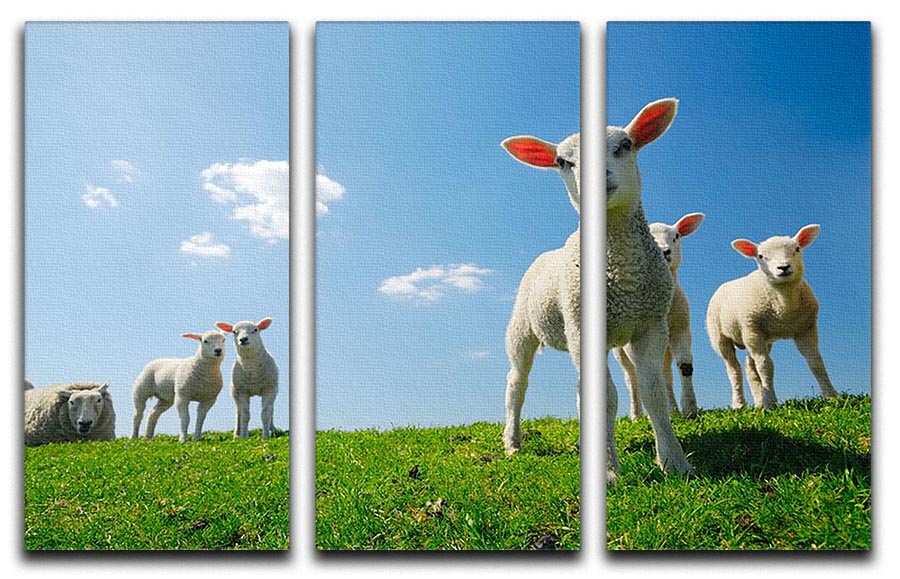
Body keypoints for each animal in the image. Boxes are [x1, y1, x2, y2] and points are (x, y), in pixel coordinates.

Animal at [613, 212, 705, 420]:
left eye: (676, 236)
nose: (664, 251)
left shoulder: (681, 329)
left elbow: (685, 366)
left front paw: (690, 409)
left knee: (665, 374)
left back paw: (672, 409)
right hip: (620, 351)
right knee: (631, 378)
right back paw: (637, 415)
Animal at [706, 224, 838, 409]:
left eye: (797, 249)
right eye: (761, 256)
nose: (783, 267)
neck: (784, 308)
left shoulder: (806, 329)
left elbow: (816, 362)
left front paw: (832, 396)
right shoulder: (754, 330)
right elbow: (766, 366)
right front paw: (770, 403)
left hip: (756, 337)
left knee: (750, 367)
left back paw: (758, 402)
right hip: (721, 336)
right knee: (734, 369)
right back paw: (739, 404)